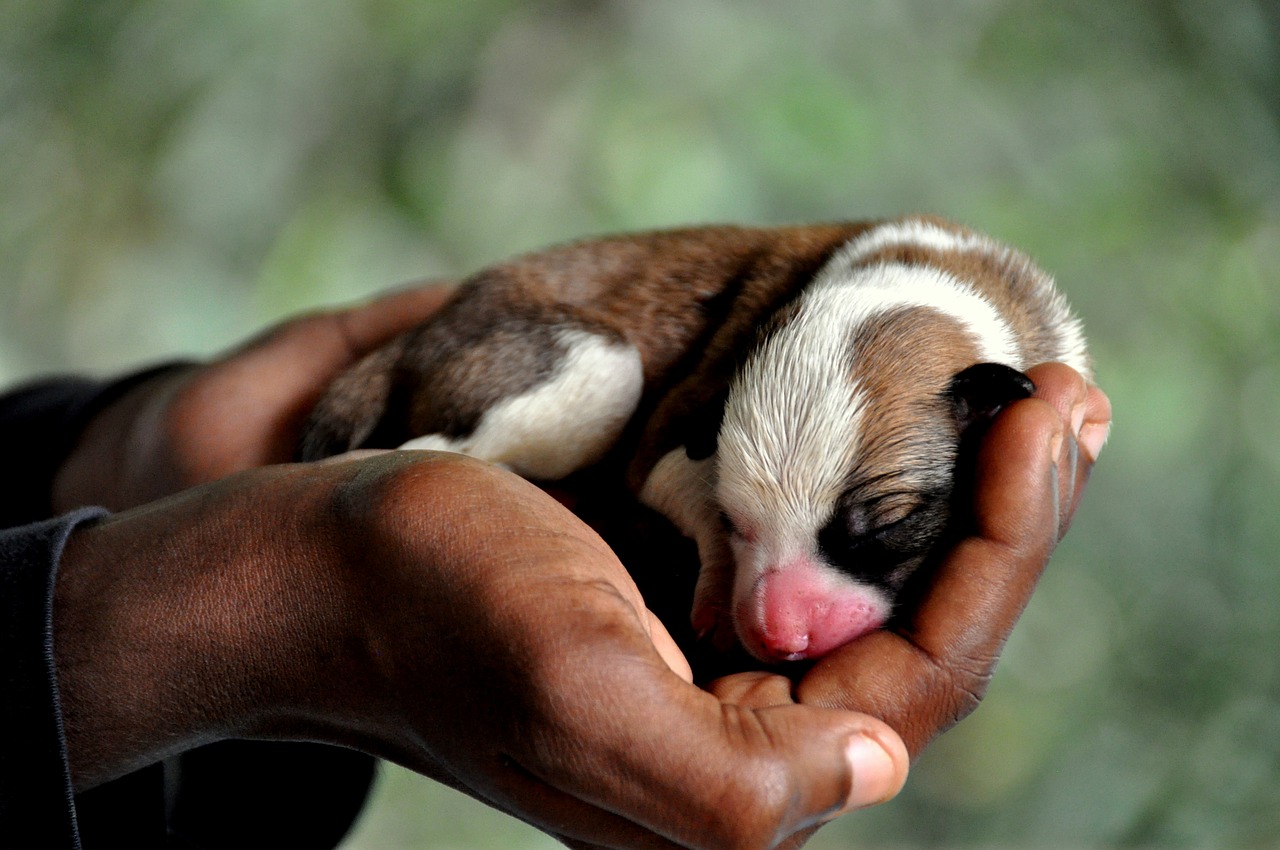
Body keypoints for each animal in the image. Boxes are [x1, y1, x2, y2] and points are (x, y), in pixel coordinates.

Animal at [299, 213, 1090, 665]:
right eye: (738, 520)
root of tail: (418, 337)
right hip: (582, 367)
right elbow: (671, 479)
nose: (776, 637)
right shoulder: (671, 426)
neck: (927, 280)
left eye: (886, 526)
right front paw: (713, 578)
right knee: (434, 444)